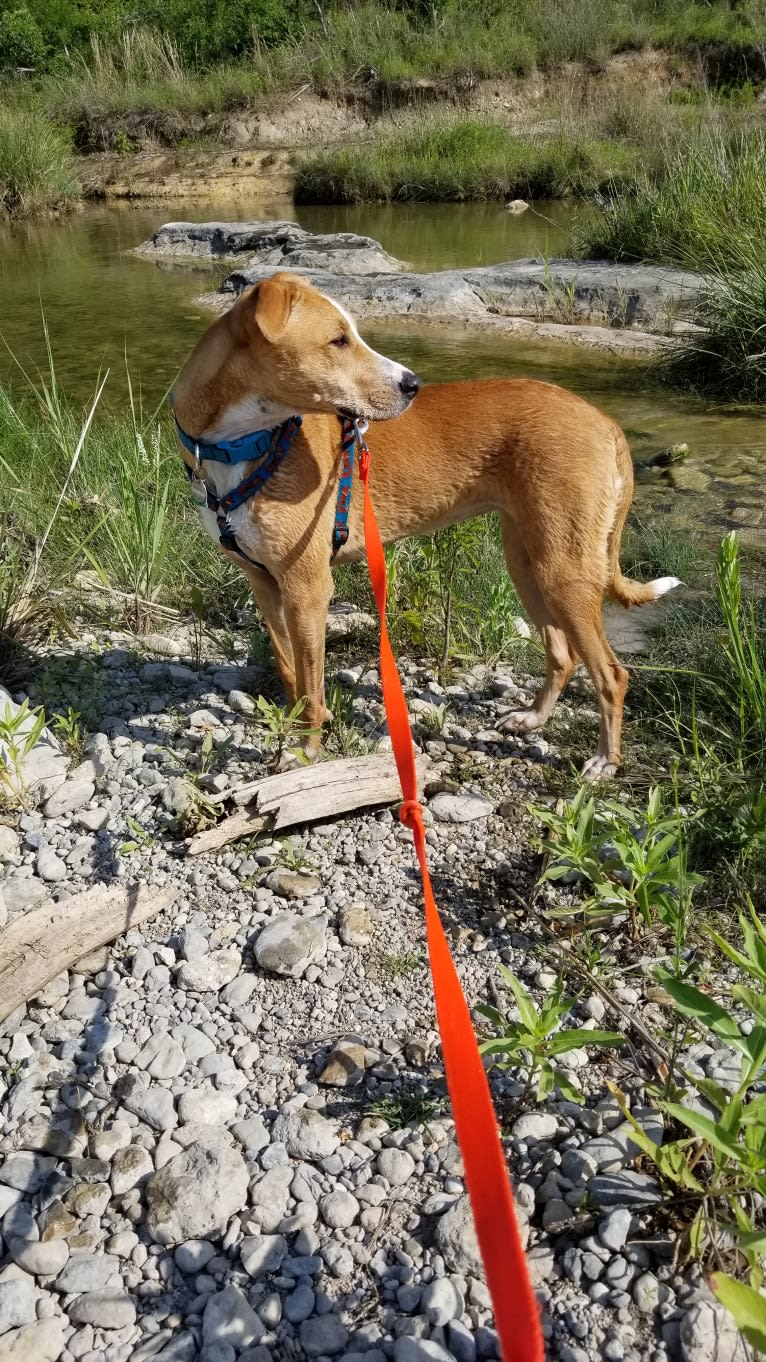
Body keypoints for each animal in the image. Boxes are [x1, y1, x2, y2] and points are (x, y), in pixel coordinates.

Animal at [171, 269, 673, 779]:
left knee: (612, 674)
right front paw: (298, 728)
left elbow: (311, 683)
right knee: (562, 653)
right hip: (528, 564)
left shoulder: (307, 588)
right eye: (338, 340)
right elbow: (291, 670)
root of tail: (604, 420)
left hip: (563, 571)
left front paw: (306, 752)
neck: (241, 448)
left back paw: (604, 761)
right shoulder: (264, 582)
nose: (413, 384)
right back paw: (532, 719)